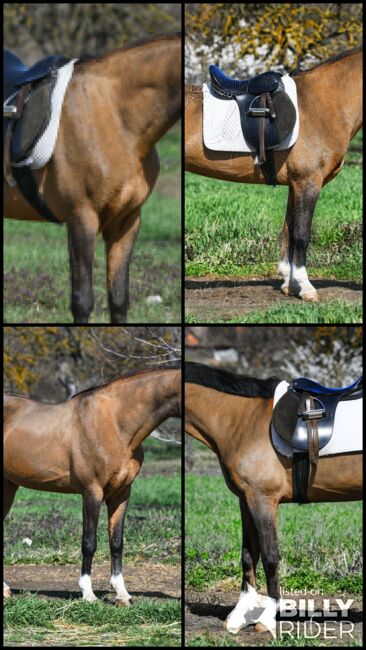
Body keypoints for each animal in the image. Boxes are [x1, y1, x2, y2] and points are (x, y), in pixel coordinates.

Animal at [2, 364, 180, 604]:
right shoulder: (91, 492)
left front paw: (122, 594)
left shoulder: (121, 494)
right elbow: (89, 543)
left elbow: (117, 542)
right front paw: (87, 593)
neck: (116, 423)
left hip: (8, 486)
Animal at [184, 362, 362, 632]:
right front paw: (239, 615)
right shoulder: (246, 500)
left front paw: (267, 618)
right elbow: (248, 555)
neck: (242, 419)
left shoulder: (263, 500)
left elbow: (269, 557)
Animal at [186, 48, 364, 302]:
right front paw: (305, 287)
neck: (324, 103)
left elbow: (289, 231)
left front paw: (290, 285)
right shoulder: (308, 182)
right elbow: (301, 234)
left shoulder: (295, 185)